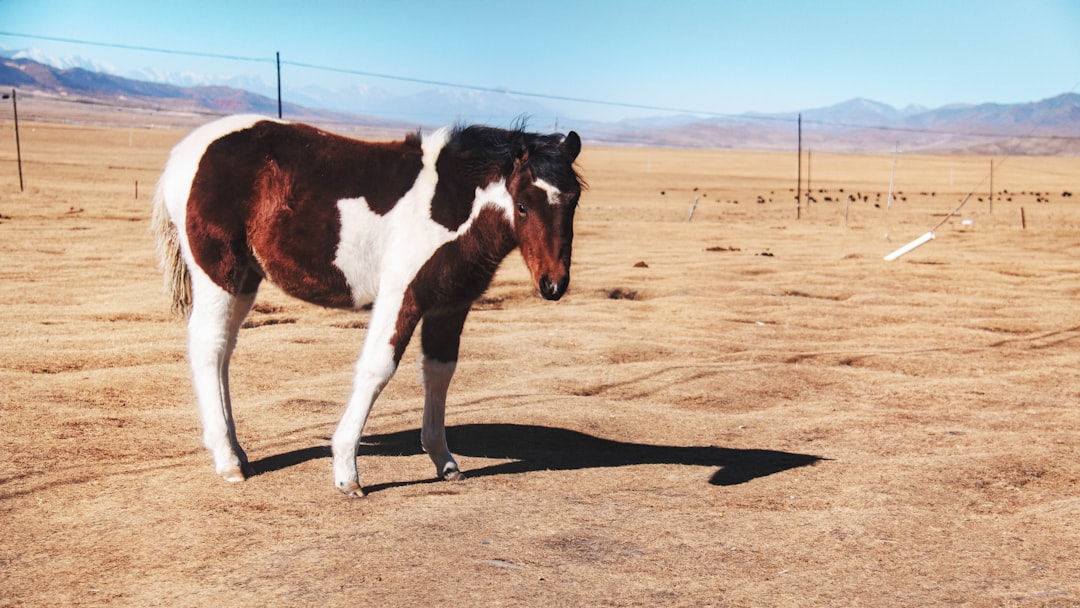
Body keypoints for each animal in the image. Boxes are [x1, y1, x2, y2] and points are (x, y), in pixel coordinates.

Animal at [152, 115, 583, 498]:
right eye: (522, 205)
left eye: (573, 201)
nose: (553, 284)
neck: (451, 202)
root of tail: (182, 154)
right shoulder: (401, 294)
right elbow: (378, 368)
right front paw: (347, 472)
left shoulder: (450, 305)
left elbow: (439, 373)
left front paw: (443, 460)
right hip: (218, 273)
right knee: (209, 346)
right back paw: (228, 460)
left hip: (244, 280)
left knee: (223, 351)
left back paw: (236, 451)